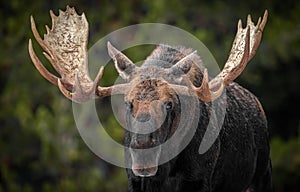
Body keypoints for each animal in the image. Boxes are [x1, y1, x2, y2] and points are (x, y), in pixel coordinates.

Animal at [28, 6, 272, 192]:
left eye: (170, 104)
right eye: (128, 103)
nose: (143, 145)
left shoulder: (200, 180)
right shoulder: (135, 181)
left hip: (261, 175)